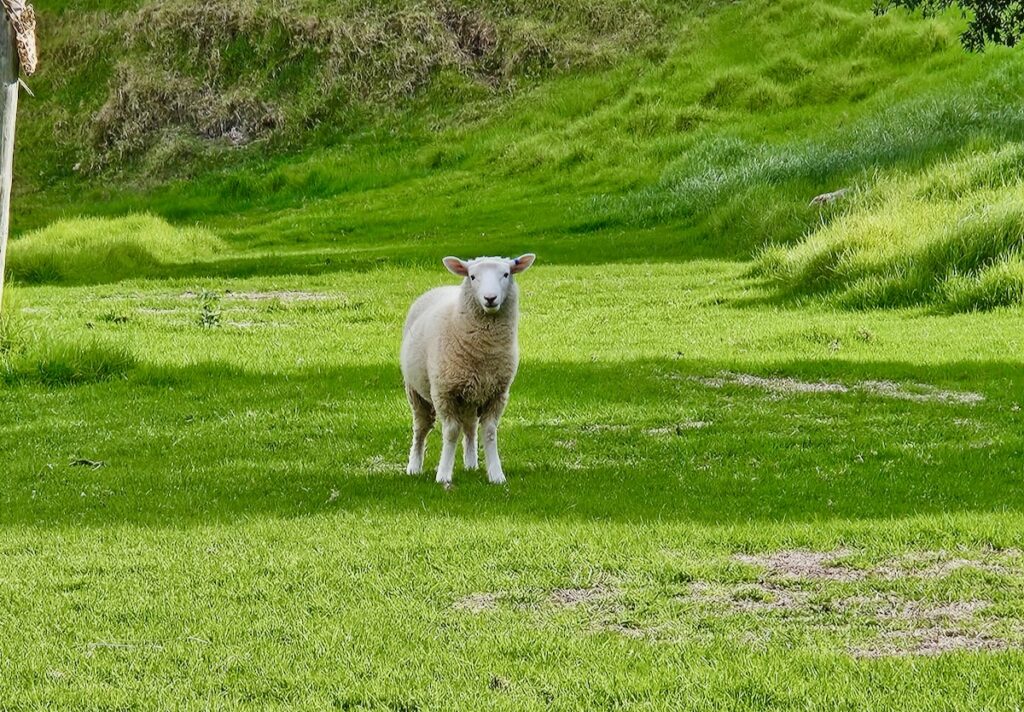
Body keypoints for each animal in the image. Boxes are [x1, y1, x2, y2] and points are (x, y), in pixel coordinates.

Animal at [401, 253, 540, 487]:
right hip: (416, 392)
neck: (484, 352)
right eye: (473, 276)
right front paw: (443, 474)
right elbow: (450, 432)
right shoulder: (444, 393)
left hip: (471, 396)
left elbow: (490, 432)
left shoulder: (497, 393)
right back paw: (414, 466)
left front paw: (496, 474)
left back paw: (471, 463)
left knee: (470, 427)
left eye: (506, 274)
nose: (490, 298)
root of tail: (441, 287)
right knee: (421, 428)